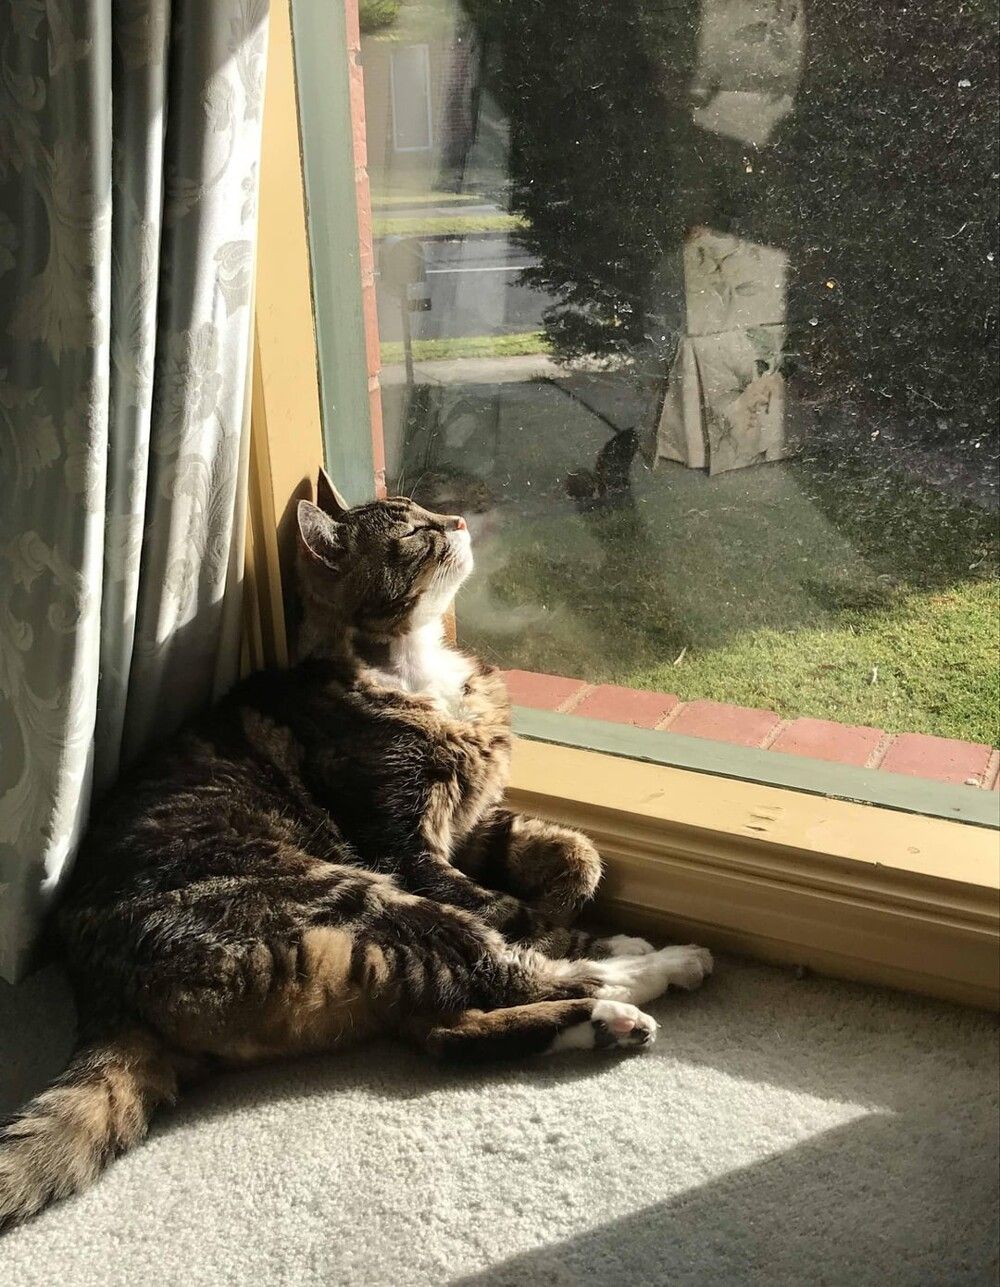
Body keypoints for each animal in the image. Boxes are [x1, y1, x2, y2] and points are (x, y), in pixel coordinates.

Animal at [0, 469, 712, 1231]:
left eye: (425, 508)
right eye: (414, 529)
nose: (458, 520)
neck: (412, 667)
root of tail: (100, 993)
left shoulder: (469, 822)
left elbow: (574, 852)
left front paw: (572, 894)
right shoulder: (405, 847)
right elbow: (510, 911)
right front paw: (583, 930)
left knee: (449, 1029)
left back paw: (613, 1021)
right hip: (361, 895)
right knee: (500, 976)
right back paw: (657, 968)